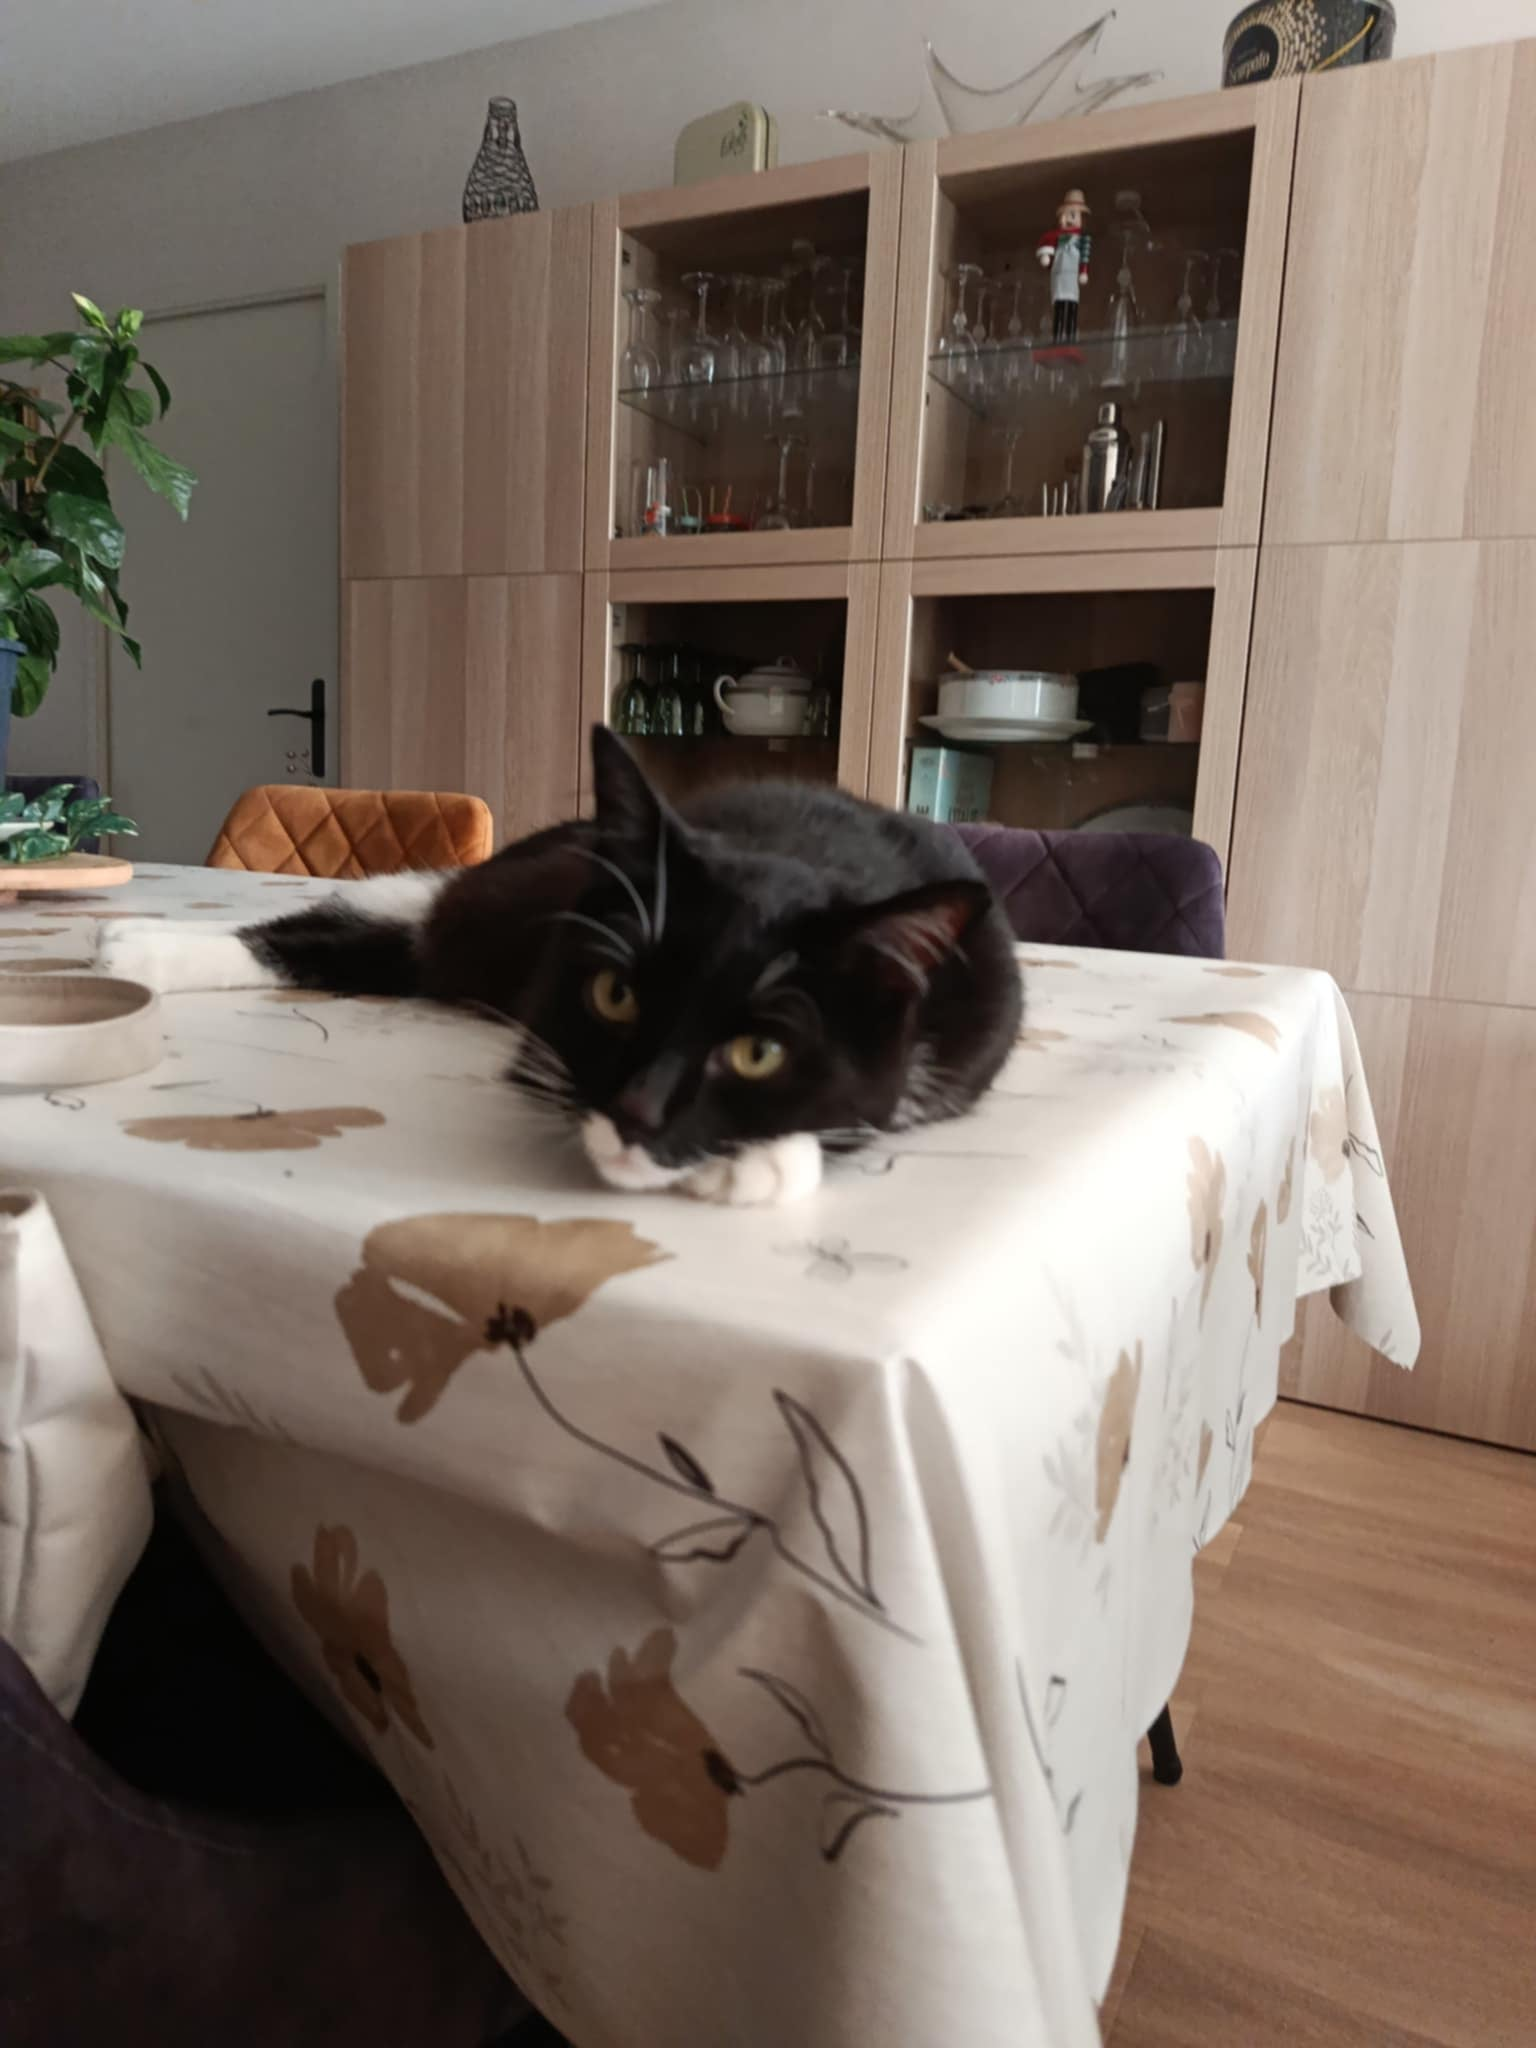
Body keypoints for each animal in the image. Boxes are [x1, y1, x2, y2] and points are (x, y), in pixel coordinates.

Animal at [99, 728, 1023, 1206]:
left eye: (762, 1051)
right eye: (618, 996)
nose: (640, 1115)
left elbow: (882, 1102)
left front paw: (759, 1155)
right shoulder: (546, 1015)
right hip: (505, 904)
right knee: (412, 920)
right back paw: (135, 950)